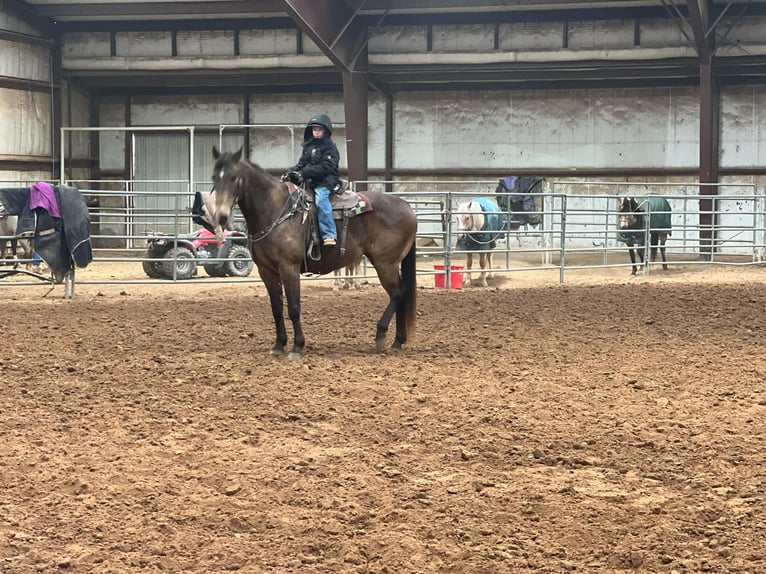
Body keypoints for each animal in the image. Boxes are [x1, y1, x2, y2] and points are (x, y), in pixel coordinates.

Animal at [210, 146, 417, 359]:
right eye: (214, 177)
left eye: (234, 177)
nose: (221, 217)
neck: (275, 210)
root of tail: (406, 205)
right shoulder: (266, 271)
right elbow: (276, 309)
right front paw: (278, 344)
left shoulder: (289, 267)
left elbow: (294, 308)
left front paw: (297, 347)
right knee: (400, 295)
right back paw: (397, 341)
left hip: (385, 263)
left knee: (398, 293)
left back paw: (381, 336)